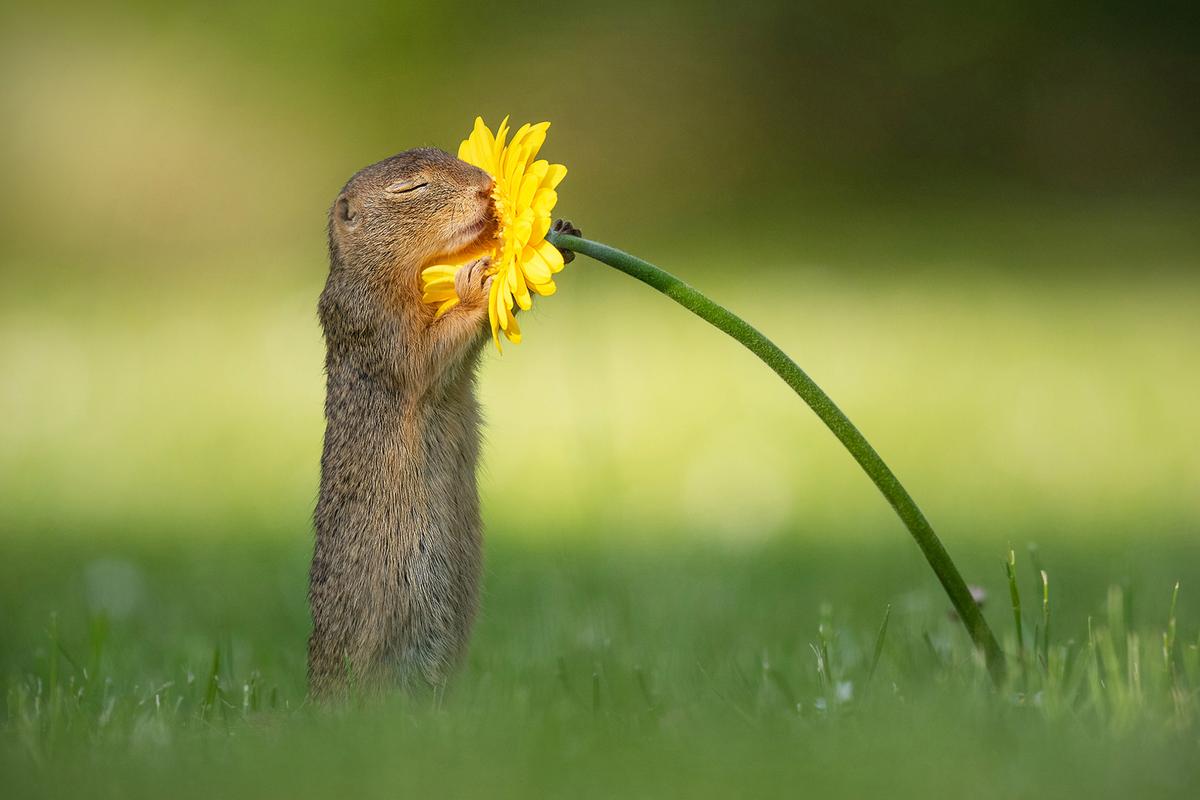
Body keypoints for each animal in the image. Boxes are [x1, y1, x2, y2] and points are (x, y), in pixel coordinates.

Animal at [307, 145, 577, 696]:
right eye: (411, 188)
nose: (485, 188)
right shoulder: (377, 327)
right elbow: (427, 354)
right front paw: (474, 283)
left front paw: (558, 230)